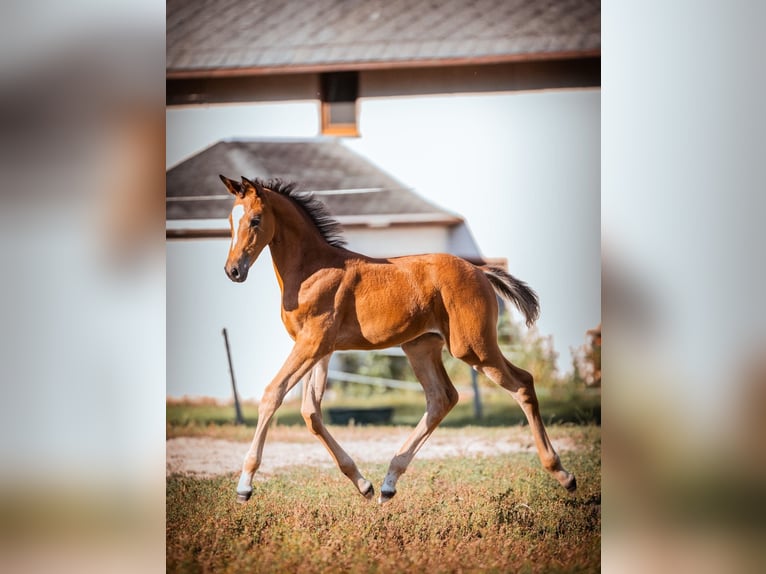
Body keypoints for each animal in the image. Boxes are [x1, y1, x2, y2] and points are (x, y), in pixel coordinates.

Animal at [218, 176, 576, 504]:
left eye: (255, 219)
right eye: (230, 221)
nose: (233, 271)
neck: (311, 270)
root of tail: (480, 271)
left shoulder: (312, 344)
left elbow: (272, 394)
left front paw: (245, 485)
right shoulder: (321, 349)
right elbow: (311, 413)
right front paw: (362, 484)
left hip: (473, 347)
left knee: (522, 383)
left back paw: (562, 474)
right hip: (421, 346)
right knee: (442, 398)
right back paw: (388, 484)